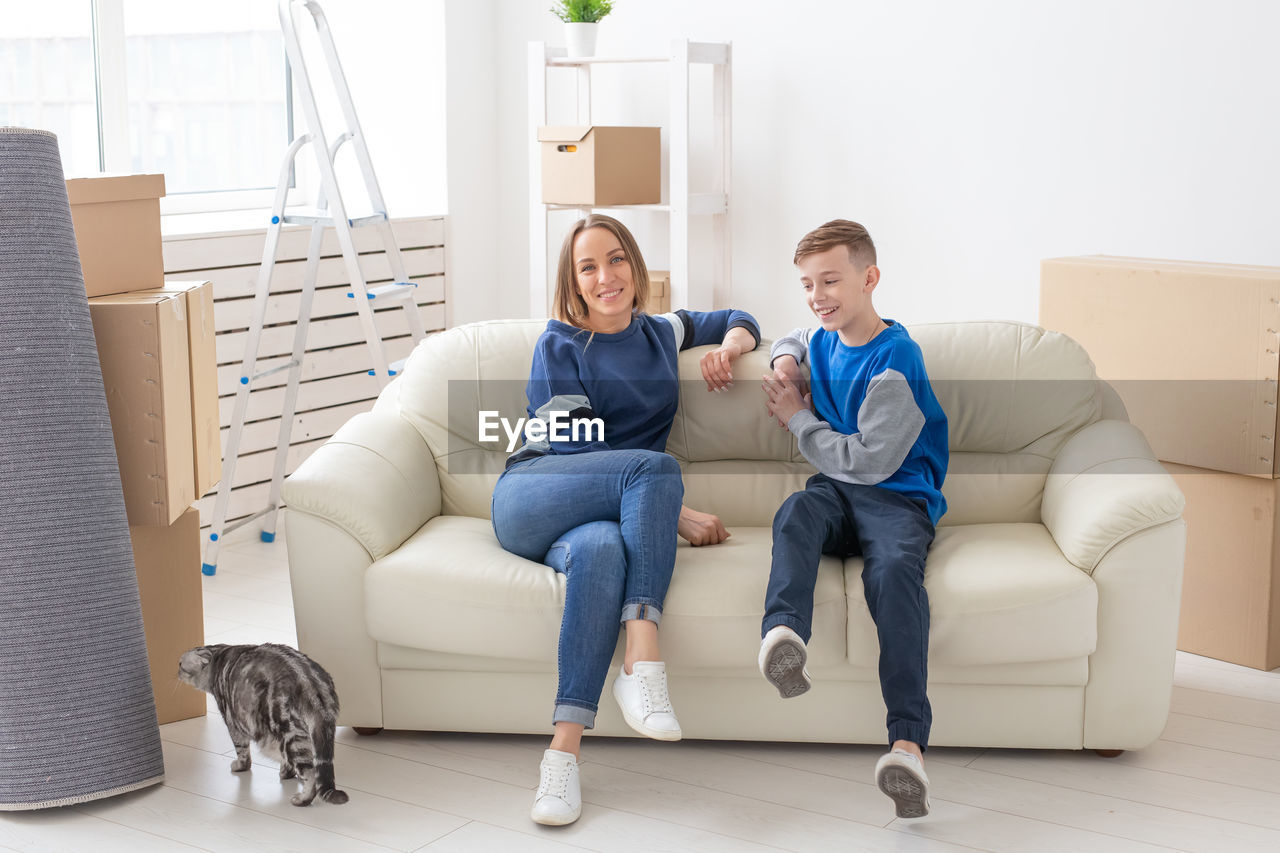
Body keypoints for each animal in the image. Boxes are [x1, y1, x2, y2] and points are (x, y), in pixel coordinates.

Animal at [175, 637, 348, 804]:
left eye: (180, 664)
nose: (176, 672)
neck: (219, 657)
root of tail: (312, 685)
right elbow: (284, 762)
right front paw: (287, 773)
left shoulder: (233, 722)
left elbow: (242, 751)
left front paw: (240, 766)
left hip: (289, 734)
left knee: (310, 774)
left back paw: (301, 799)